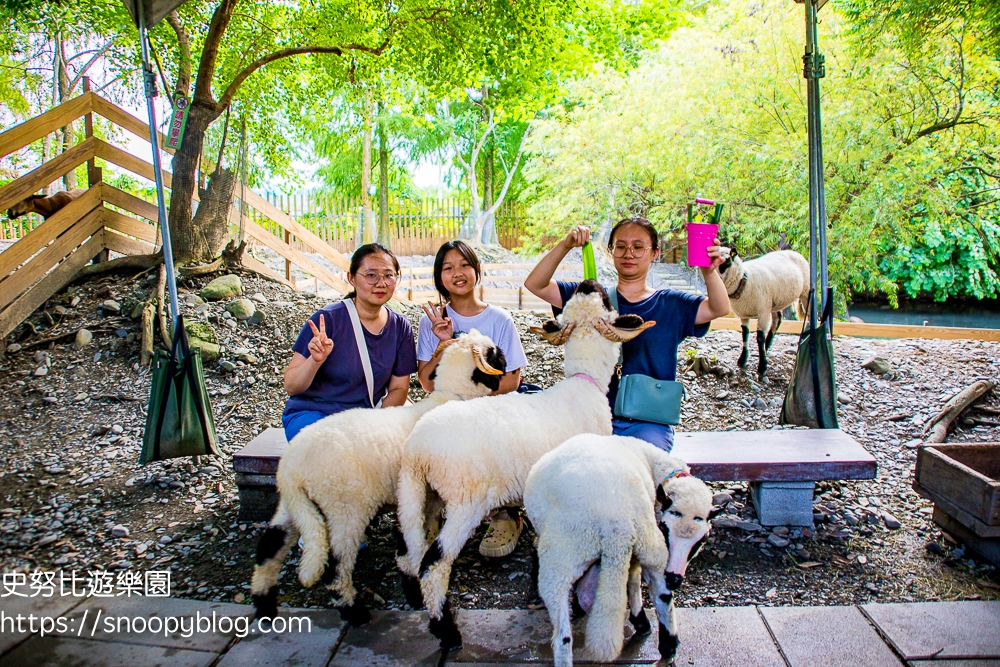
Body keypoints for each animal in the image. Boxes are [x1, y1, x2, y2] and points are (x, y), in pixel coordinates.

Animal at [246, 332, 504, 628]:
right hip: (345, 509)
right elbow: (416, 542)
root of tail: (290, 468)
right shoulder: (428, 498)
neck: (451, 397)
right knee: (336, 568)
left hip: (294, 506)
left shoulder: (421, 501)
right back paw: (355, 613)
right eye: (494, 353)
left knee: (269, 548)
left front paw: (413, 591)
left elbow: (409, 542)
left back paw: (265, 609)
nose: (507, 360)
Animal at [524, 436, 720, 664]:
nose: (675, 578)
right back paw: (668, 645)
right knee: (662, 594)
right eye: (665, 528)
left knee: (563, 638)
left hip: (562, 558)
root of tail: (617, 524)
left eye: (701, 540)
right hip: (652, 548)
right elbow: (634, 577)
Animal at [716, 249, 808, 386]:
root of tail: (792, 251)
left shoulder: (763, 312)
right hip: (774, 302)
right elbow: (745, 335)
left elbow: (759, 337)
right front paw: (742, 361)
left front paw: (762, 370)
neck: (745, 281)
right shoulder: (744, 314)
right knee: (777, 320)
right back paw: (767, 347)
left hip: (805, 291)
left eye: (726, 262)